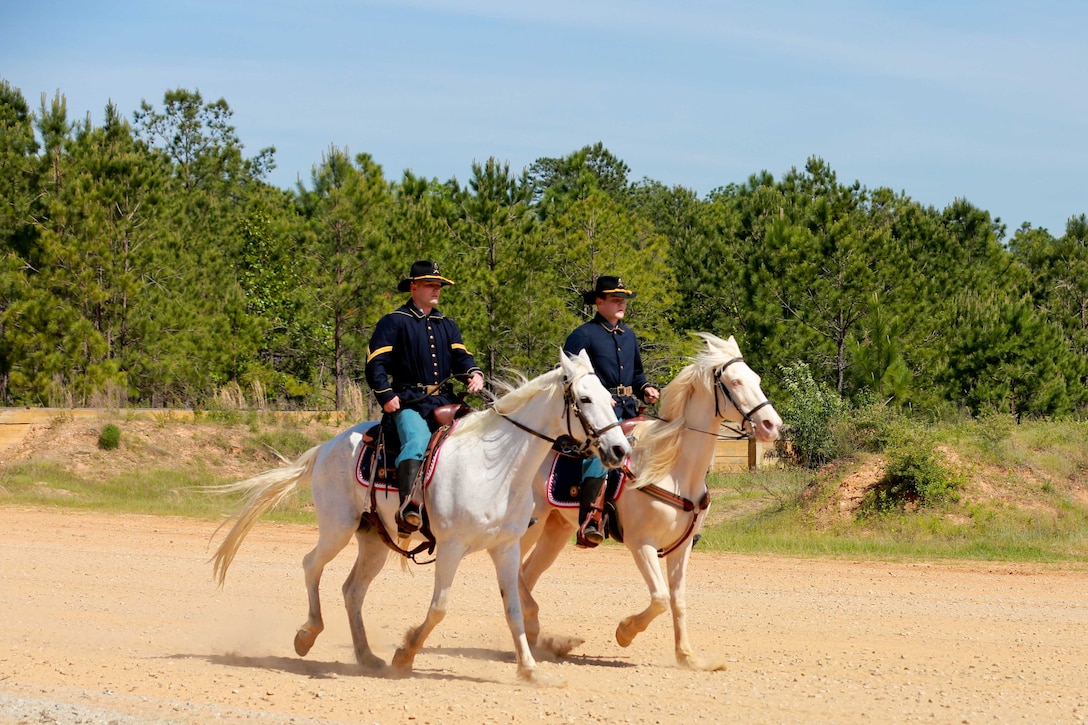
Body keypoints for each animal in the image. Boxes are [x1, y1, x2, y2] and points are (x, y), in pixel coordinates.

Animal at [209, 348, 631, 679]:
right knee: (311, 565)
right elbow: (440, 608)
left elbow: (513, 608)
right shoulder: (451, 546)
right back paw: (307, 634)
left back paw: (366, 656)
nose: (619, 451)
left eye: (610, 399)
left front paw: (530, 671)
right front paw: (406, 653)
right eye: (585, 399)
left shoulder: (506, 547)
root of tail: (328, 445)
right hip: (337, 527)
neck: (493, 464)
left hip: (374, 539)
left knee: (352, 590)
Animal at [517, 330, 783, 666]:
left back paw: (538, 637)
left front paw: (687, 656)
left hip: (556, 529)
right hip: (530, 525)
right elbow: (660, 599)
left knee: (525, 575)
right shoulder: (641, 544)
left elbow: (677, 600)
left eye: (756, 378)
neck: (675, 469)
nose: (772, 425)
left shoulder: (681, 548)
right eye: (735, 382)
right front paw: (625, 632)